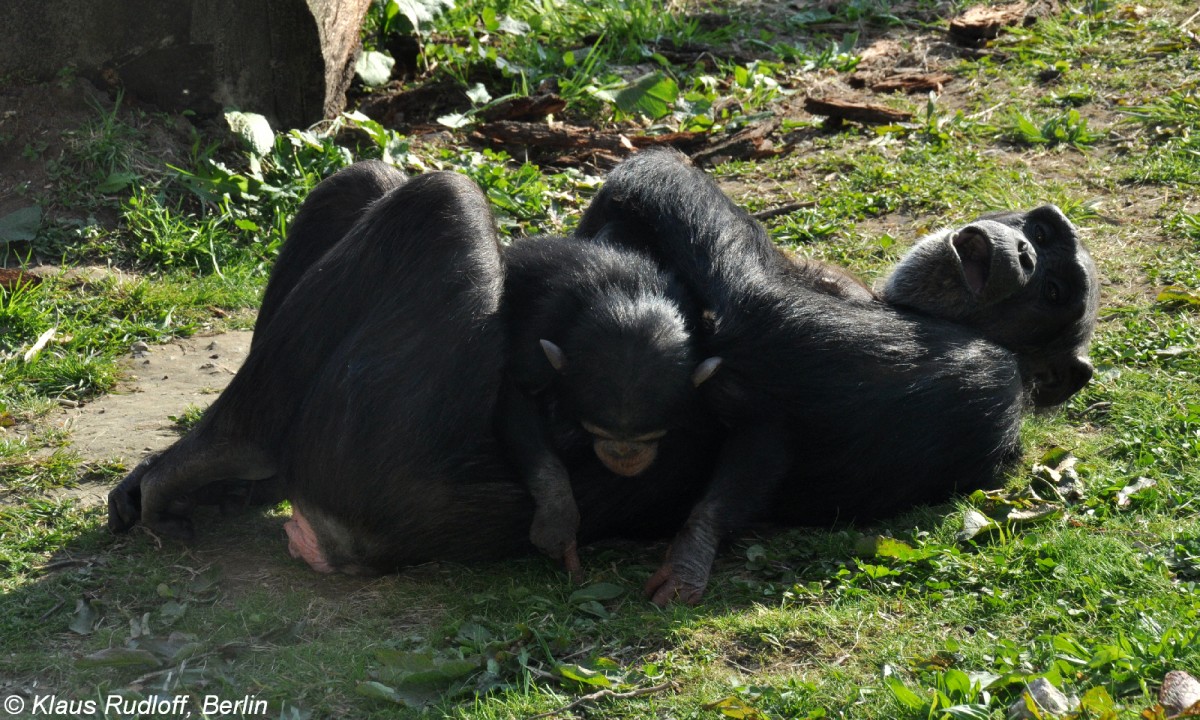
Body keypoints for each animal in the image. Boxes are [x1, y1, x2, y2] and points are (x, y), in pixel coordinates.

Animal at [571, 144, 1099, 602]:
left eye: (1053, 291)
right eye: (1042, 234)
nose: (1025, 250)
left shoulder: (980, 370)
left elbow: (758, 300)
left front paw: (659, 167)